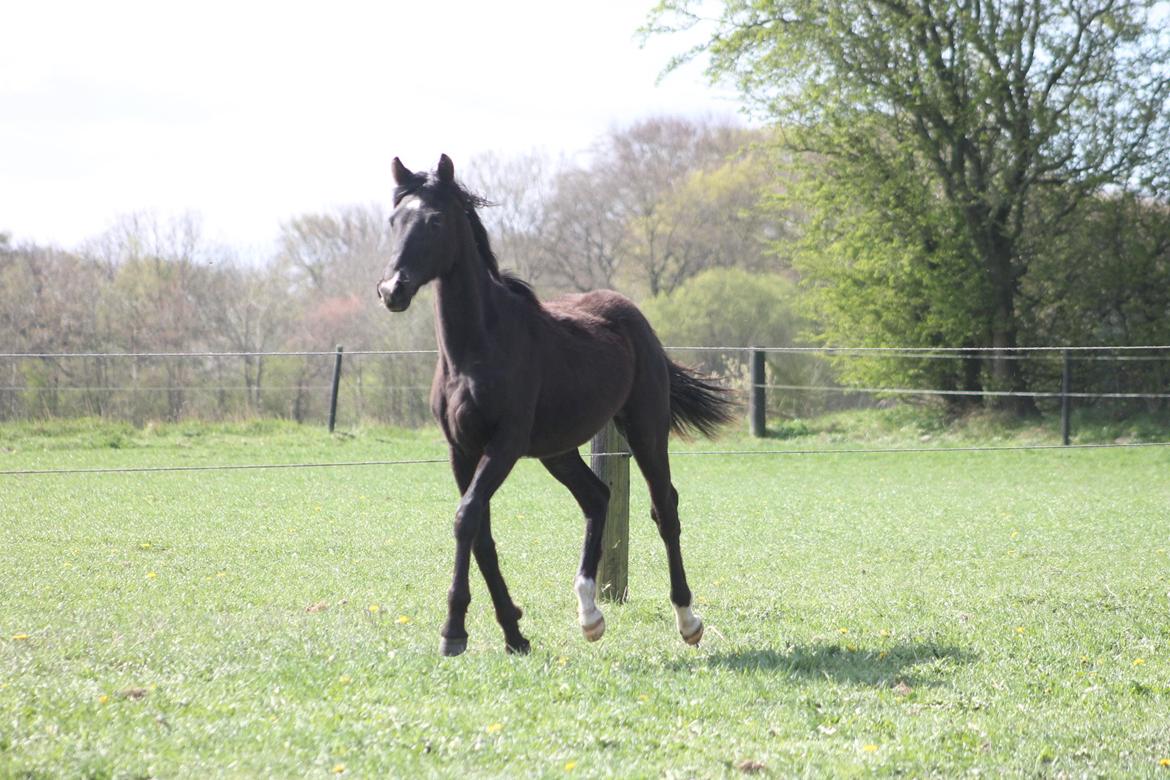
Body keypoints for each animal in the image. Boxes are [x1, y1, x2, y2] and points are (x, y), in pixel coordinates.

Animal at [374, 155, 730, 654]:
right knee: (597, 498)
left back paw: (687, 621)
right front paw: (513, 633)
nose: (392, 290)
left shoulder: (503, 446)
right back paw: (590, 614)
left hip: (645, 429)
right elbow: (480, 532)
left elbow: (466, 519)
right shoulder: (461, 450)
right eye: (394, 221)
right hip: (557, 450)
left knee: (665, 509)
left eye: (435, 220)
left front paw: (454, 631)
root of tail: (636, 318)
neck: (477, 348)